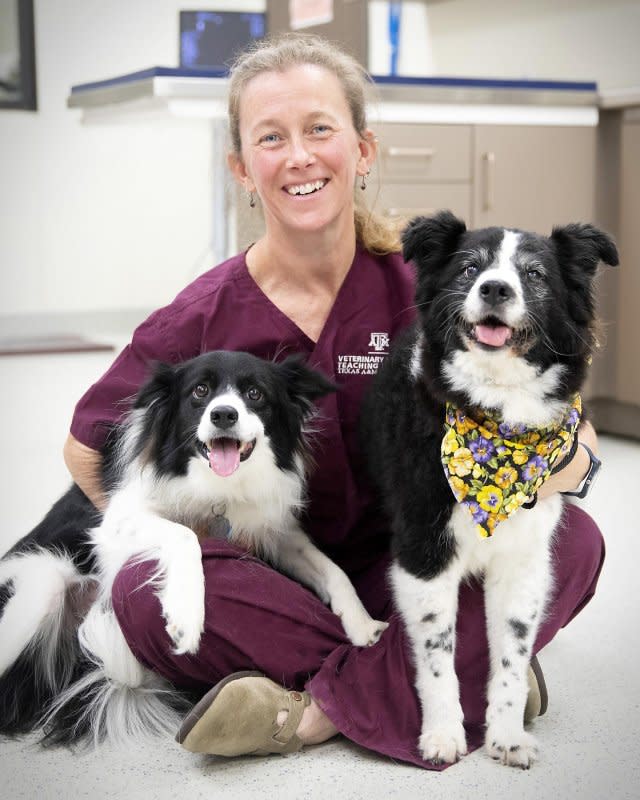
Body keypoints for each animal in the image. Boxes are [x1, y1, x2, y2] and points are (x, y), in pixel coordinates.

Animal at [1, 354, 384, 748]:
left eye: (255, 393)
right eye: (200, 391)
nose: (223, 415)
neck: (217, 484)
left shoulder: (274, 531)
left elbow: (332, 569)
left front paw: (362, 624)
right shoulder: (118, 520)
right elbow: (187, 536)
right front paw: (186, 617)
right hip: (42, 588)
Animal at [362, 211, 616, 768]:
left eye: (535, 274)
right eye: (470, 268)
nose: (496, 288)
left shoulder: (524, 560)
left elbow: (512, 656)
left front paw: (506, 735)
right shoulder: (423, 551)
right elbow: (437, 652)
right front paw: (442, 734)